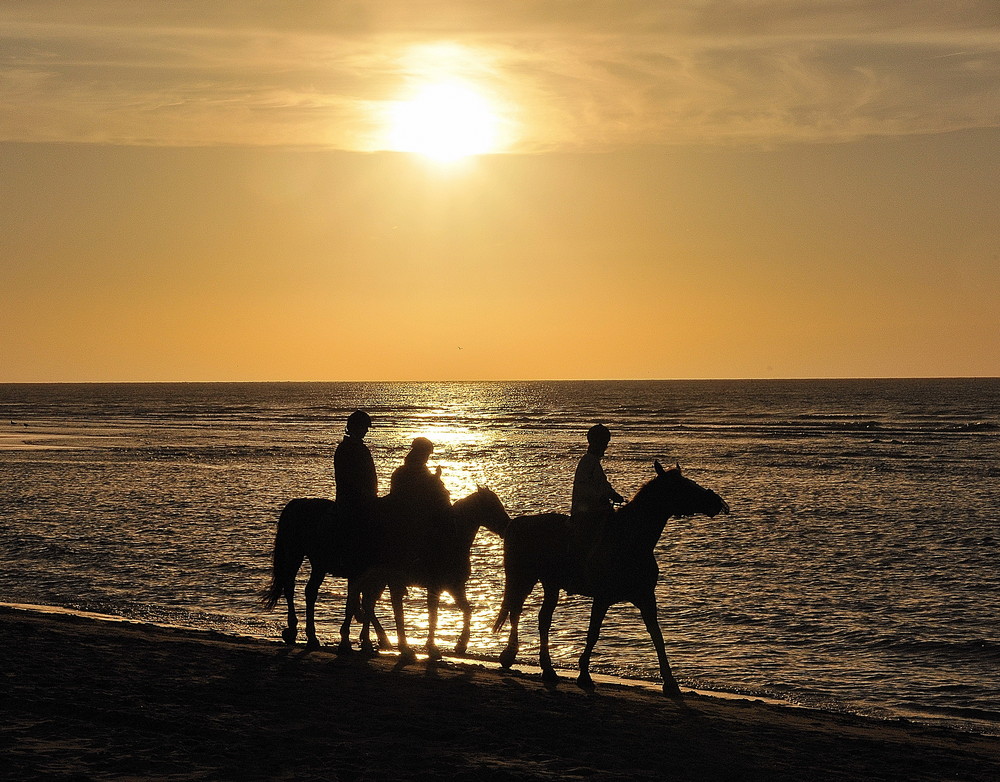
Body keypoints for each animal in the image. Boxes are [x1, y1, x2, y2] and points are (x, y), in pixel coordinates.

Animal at [492, 462, 728, 696]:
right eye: (683, 486)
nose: (716, 502)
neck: (630, 541)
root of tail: (516, 523)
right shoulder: (602, 598)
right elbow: (593, 633)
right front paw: (584, 674)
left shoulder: (646, 598)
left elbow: (657, 636)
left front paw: (670, 683)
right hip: (523, 578)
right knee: (516, 611)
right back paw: (510, 655)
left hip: (551, 584)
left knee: (542, 619)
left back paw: (547, 669)